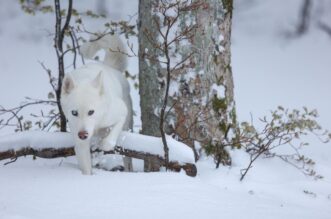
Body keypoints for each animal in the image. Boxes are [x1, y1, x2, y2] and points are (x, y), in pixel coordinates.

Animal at [60, 34, 133, 175]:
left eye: (91, 112)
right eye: (74, 112)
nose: (83, 135)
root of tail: (110, 67)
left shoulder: (121, 112)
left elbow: (109, 141)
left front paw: (104, 144)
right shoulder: (79, 141)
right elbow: (85, 166)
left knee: (127, 159)